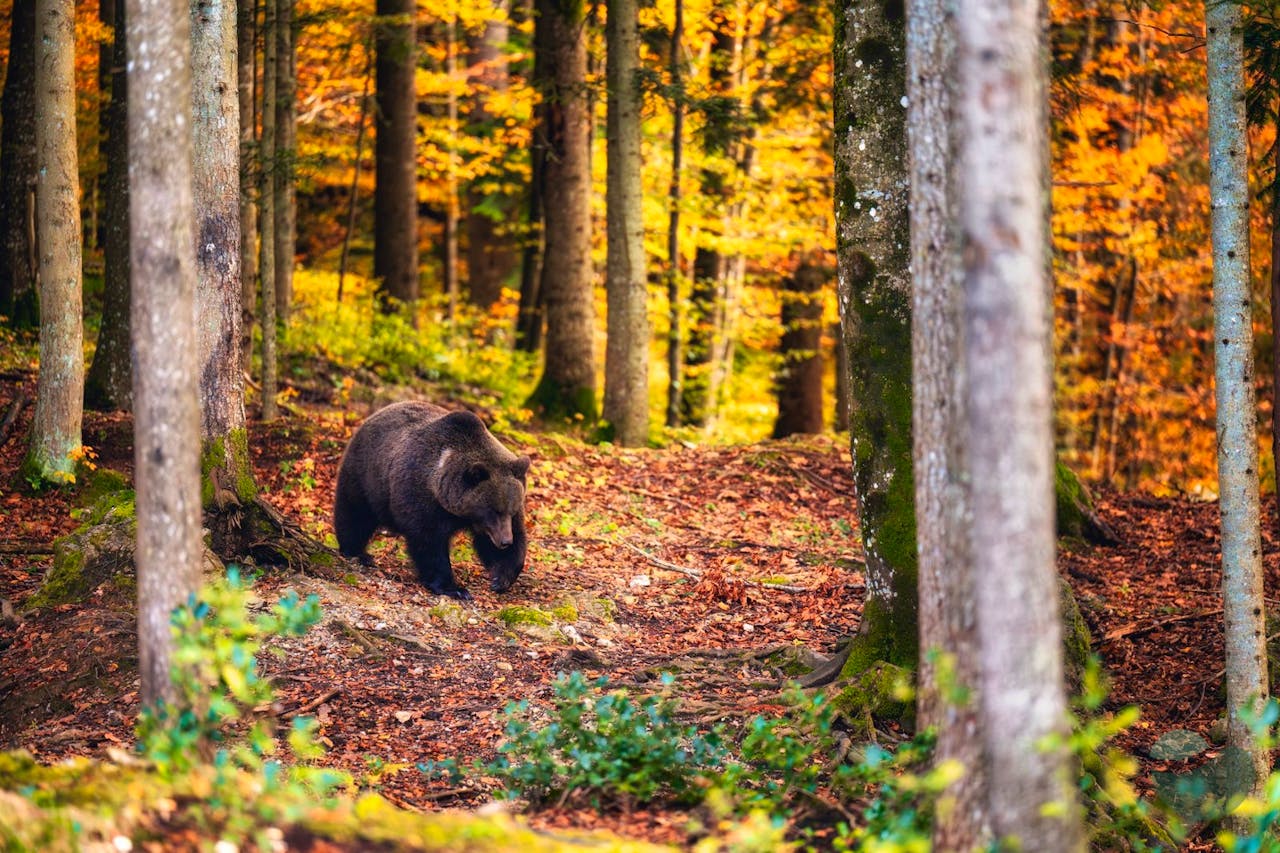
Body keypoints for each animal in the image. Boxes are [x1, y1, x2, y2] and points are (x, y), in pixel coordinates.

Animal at [335, 399, 529, 594]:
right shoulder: (421, 496)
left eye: (511, 511)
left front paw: (500, 578)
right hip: (366, 475)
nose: (505, 541)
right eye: (494, 510)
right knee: (355, 513)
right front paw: (454, 588)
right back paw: (357, 552)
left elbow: (503, 541)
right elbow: (429, 543)